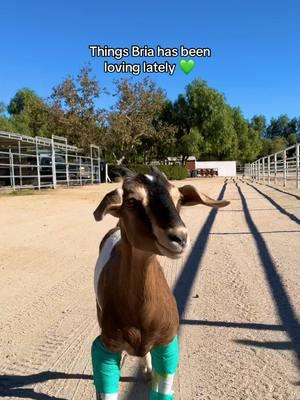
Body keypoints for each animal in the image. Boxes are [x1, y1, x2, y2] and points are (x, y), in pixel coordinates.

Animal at [90, 166, 229, 400]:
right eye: (132, 201)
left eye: (178, 198)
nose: (180, 238)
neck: (140, 317)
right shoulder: (108, 346)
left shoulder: (166, 342)